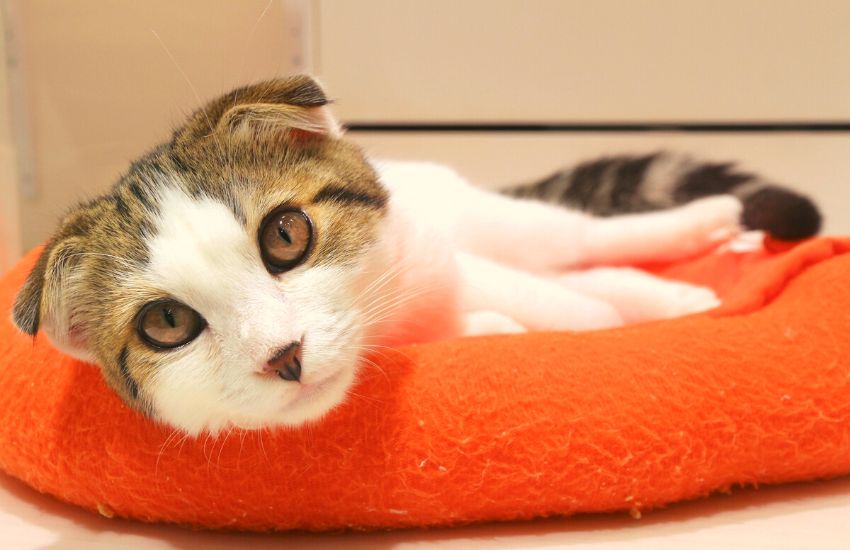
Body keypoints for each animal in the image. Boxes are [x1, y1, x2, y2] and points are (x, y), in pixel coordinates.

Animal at [9, 76, 820, 436]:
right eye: (168, 324)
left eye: (285, 235)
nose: (284, 354)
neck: (387, 328)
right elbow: (517, 312)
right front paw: (500, 331)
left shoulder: (433, 253)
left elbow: (560, 297)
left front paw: (621, 312)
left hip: (484, 218)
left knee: (570, 241)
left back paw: (697, 239)